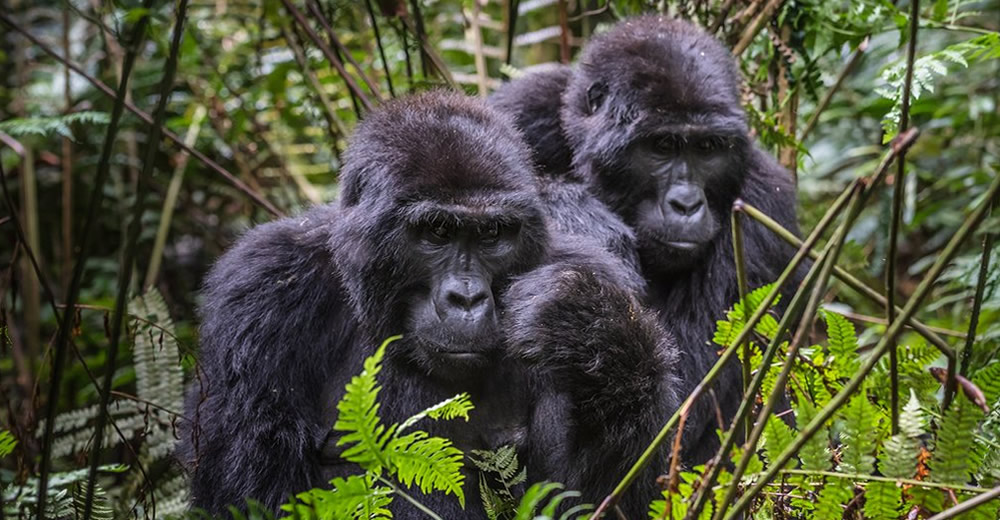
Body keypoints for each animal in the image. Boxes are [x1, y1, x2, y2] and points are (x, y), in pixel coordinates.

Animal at [180, 90, 680, 516]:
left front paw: (590, 331)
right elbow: (251, 495)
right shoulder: (261, 290)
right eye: (437, 231)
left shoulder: (597, 269)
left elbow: (596, 497)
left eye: (492, 233)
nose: (467, 297)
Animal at [488, 14, 800, 466]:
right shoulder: (521, 107)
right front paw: (574, 211)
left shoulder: (765, 207)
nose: (687, 204)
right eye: (663, 145)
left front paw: (582, 319)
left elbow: (680, 412)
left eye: (708, 148)